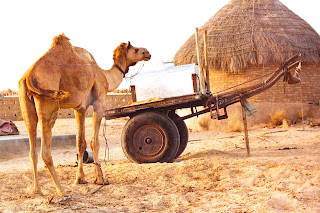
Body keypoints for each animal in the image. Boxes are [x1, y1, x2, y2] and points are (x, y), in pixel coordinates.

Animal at [18, 33, 151, 196]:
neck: (105, 76)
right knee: (45, 151)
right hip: (48, 104)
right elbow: (95, 142)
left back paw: (37, 190)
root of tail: (28, 77)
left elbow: (80, 142)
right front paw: (100, 179)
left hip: (26, 106)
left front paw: (80, 179)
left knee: (32, 149)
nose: (147, 52)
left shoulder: (79, 108)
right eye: (136, 49)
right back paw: (62, 191)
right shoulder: (99, 103)